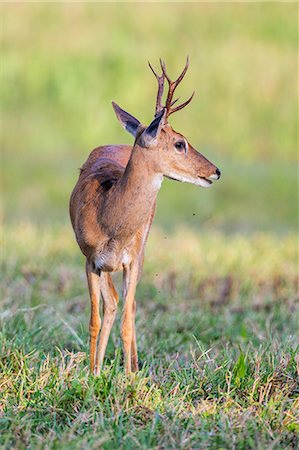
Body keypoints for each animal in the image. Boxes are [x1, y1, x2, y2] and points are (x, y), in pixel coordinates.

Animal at [69, 59, 220, 376]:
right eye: (180, 143)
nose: (215, 170)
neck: (109, 217)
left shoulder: (132, 260)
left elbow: (126, 321)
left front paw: (128, 378)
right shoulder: (90, 260)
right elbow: (94, 320)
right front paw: (91, 374)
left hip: (142, 251)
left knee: (129, 305)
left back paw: (134, 366)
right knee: (113, 303)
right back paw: (100, 367)